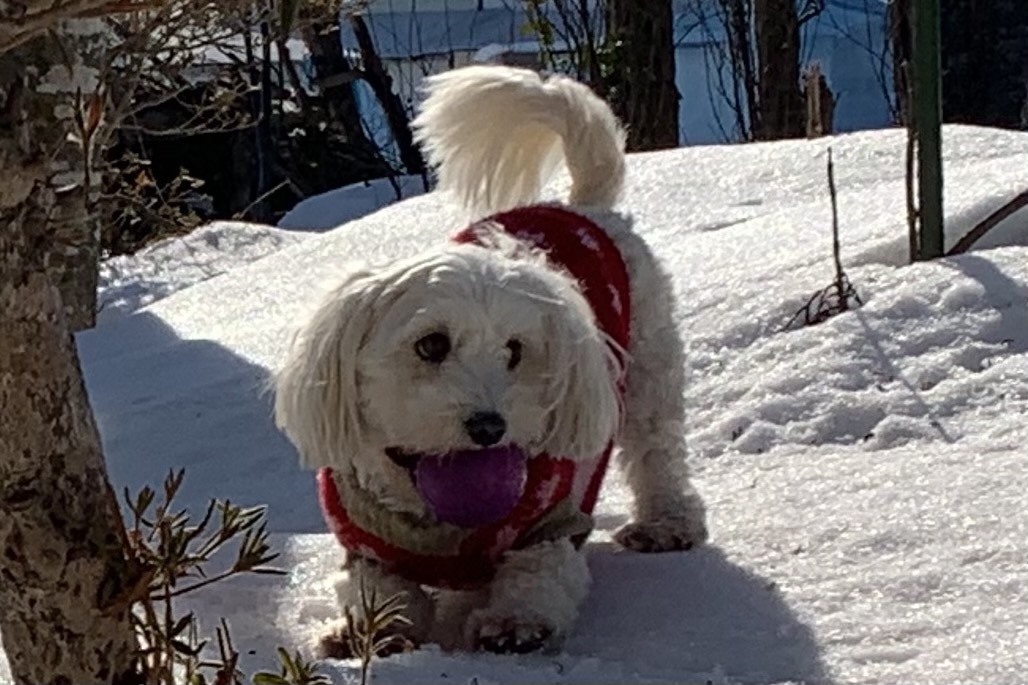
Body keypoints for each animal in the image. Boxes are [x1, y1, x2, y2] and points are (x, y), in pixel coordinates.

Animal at [273, 65, 707, 658]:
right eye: (431, 345)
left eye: (515, 350)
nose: (488, 427)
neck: (435, 520)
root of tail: (585, 207)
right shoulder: (364, 539)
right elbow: (376, 587)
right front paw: (366, 632)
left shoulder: (550, 520)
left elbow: (539, 571)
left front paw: (515, 622)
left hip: (646, 368)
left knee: (656, 448)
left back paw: (666, 522)